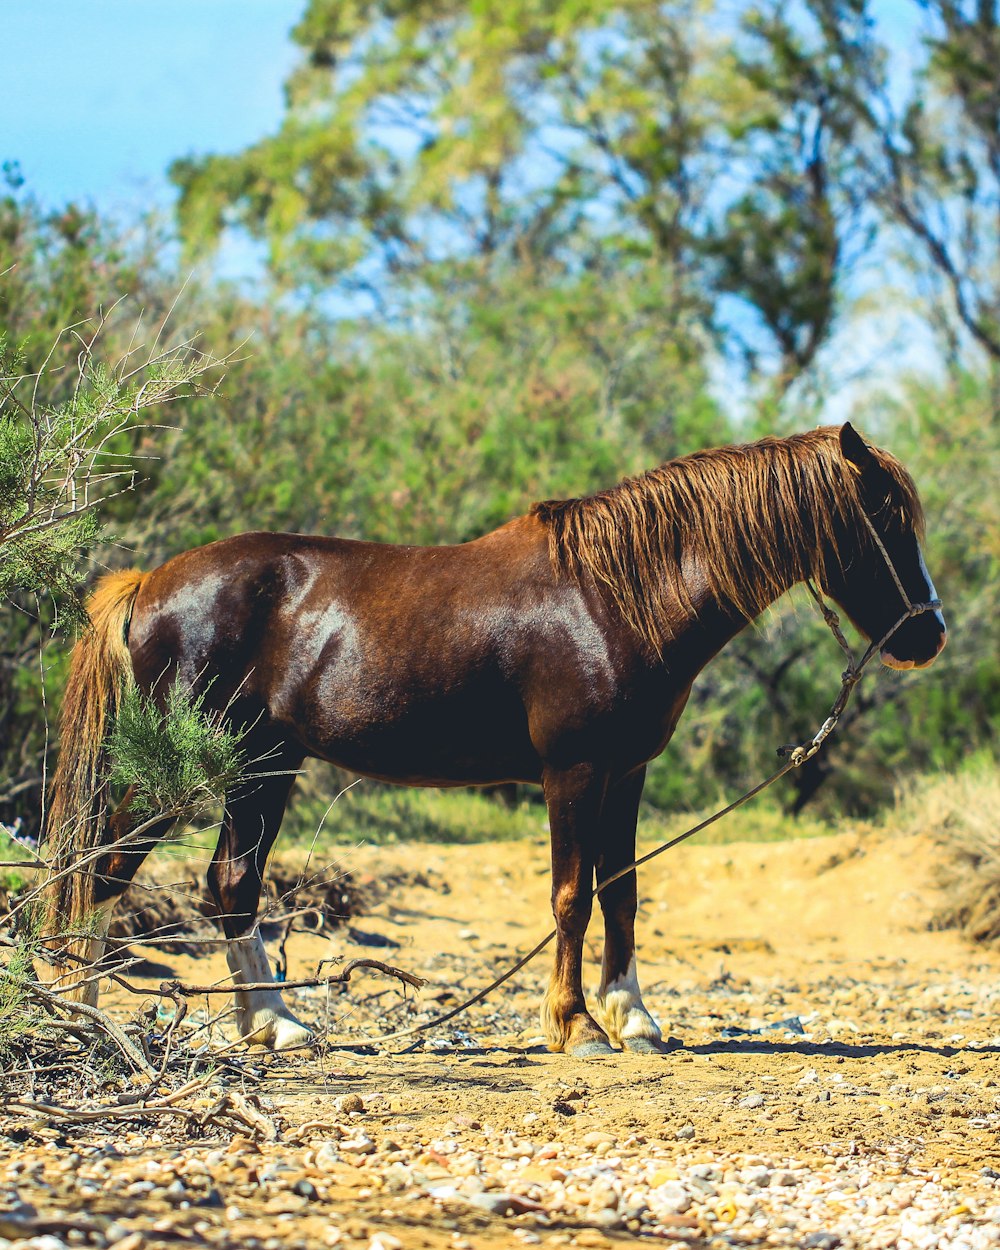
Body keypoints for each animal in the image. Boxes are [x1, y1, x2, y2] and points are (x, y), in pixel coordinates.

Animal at [39, 422, 945, 1055]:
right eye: (882, 522)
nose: (927, 635)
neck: (612, 595)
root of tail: (150, 584)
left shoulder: (627, 773)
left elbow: (621, 891)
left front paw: (634, 1018)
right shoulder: (572, 770)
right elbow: (572, 897)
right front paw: (575, 1026)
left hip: (263, 768)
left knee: (227, 884)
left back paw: (275, 1026)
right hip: (185, 773)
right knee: (106, 870)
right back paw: (79, 1016)